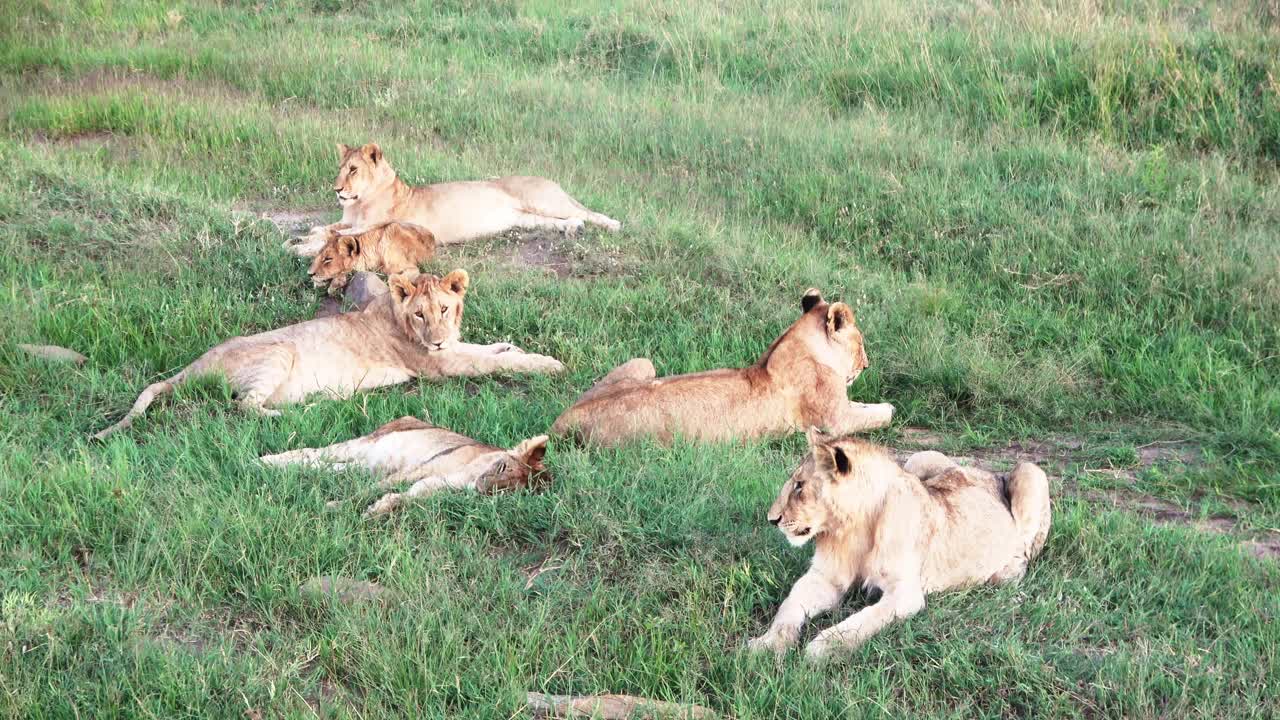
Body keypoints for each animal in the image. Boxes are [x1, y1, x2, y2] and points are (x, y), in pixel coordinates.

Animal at [92, 267, 563, 438]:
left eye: (444, 309)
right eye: (420, 315)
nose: (436, 339)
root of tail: (195, 364)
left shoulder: (454, 349)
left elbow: (491, 347)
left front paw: (513, 344)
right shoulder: (440, 365)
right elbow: (493, 361)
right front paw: (548, 364)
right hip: (278, 351)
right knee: (245, 407)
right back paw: (305, 411)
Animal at [259, 415, 550, 515]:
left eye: (505, 492)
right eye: (501, 468)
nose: (482, 487)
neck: (468, 477)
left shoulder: (428, 488)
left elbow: (399, 499)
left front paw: (375, 511)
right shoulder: (418, 470)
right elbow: (367, 492)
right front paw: (335, 506)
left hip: (357, 465)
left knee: (319, 465)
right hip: (361, 445)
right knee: (312, 452)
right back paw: (264, 461)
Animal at [284, 142, 619, 254]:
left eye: (353, 170)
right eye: (340, 169)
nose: (337, 190)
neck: (358, 202)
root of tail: (551, 180)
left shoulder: (372, 226)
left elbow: (333, 237)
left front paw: (300, 247)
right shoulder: (347, 222)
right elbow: (325, 229)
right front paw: (299, 239)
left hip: (543, 199)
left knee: (589, 212)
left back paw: (612, 224)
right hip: (527, 218)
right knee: (561, 220)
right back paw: (571, 228)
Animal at [747, 427, 1049, 661]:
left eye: (799, 485)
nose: (772, 519)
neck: (851, 530)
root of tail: (987, 471)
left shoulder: (905, 594)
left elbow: (863, 620)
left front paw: (822, 648)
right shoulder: (823, 578)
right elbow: (789, 607)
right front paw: (767, 644)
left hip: (1030, 471)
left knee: (1026, 549)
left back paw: (1006, 574)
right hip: (919, 458)